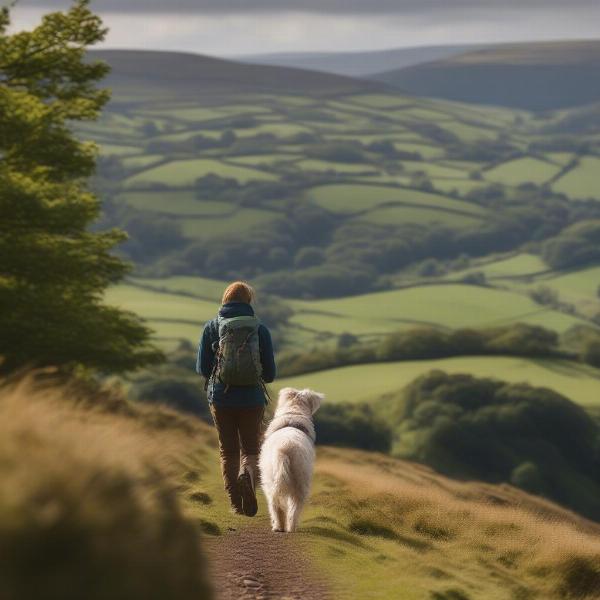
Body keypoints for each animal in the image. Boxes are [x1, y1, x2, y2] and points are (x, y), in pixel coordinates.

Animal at [258, 390, 324, 536]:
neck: (292, 416)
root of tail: (285, 448)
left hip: (272, 480)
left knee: (276, 505)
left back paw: (279, 527)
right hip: (300, 480)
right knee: (294, 508)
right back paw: (291, 527)